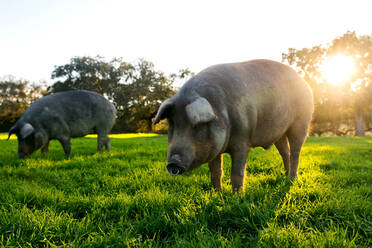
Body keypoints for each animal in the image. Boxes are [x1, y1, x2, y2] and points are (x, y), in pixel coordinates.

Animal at [154, 59, 314, 193]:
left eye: (197, 126)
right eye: (172, 124)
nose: (173, 163)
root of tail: (305, 83)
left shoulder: (243, 140)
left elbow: (237, 171)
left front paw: (237, 196)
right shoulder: (215, 149)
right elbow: (216, 172)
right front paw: (216, 194)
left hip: (301, 123)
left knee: (295, 152)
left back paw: (292, 179)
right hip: (279, 133)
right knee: (285, 152)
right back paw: (285, 176)